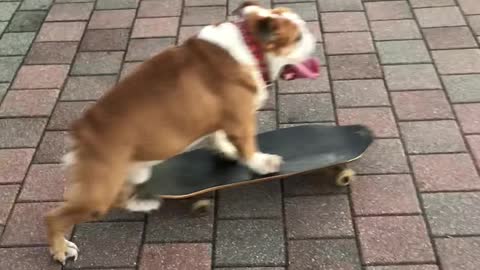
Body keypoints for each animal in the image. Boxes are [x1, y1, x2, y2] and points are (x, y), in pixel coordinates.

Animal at [46, 1, 318, 264]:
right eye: (297, 37)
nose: (313, 37)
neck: (250, 45)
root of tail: (81, 131)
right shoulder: (241, 121)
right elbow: (249, 147)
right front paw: (262, 163)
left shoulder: (220, 119)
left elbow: (218, 135)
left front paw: (227, 151)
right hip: (98, 193)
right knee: (54, 217)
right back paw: (61, 249)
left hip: (130, 173)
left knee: (121, 197)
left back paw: (144, 202)